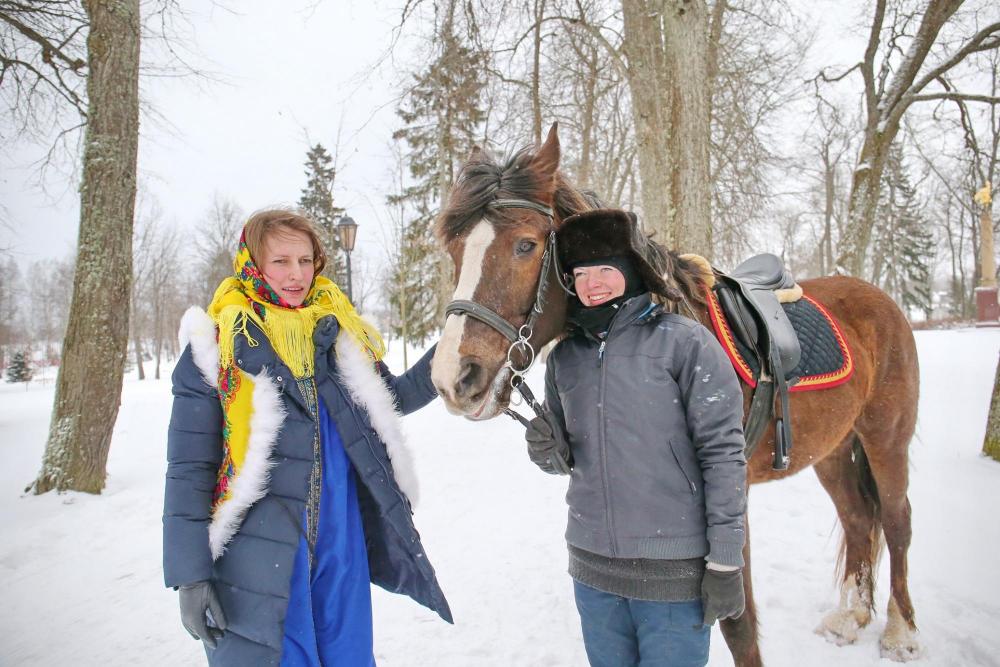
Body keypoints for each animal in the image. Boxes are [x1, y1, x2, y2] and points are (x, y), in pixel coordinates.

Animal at [430, 124, 921, 665]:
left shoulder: (729, 496)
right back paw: (850, 617)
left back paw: (901, 631)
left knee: (896, 521)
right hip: (832, 449)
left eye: (525, 245)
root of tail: (880, 300)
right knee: (858, 518)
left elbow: (738, 623)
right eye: (456, 252)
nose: (453, 377)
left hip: (885, 438)